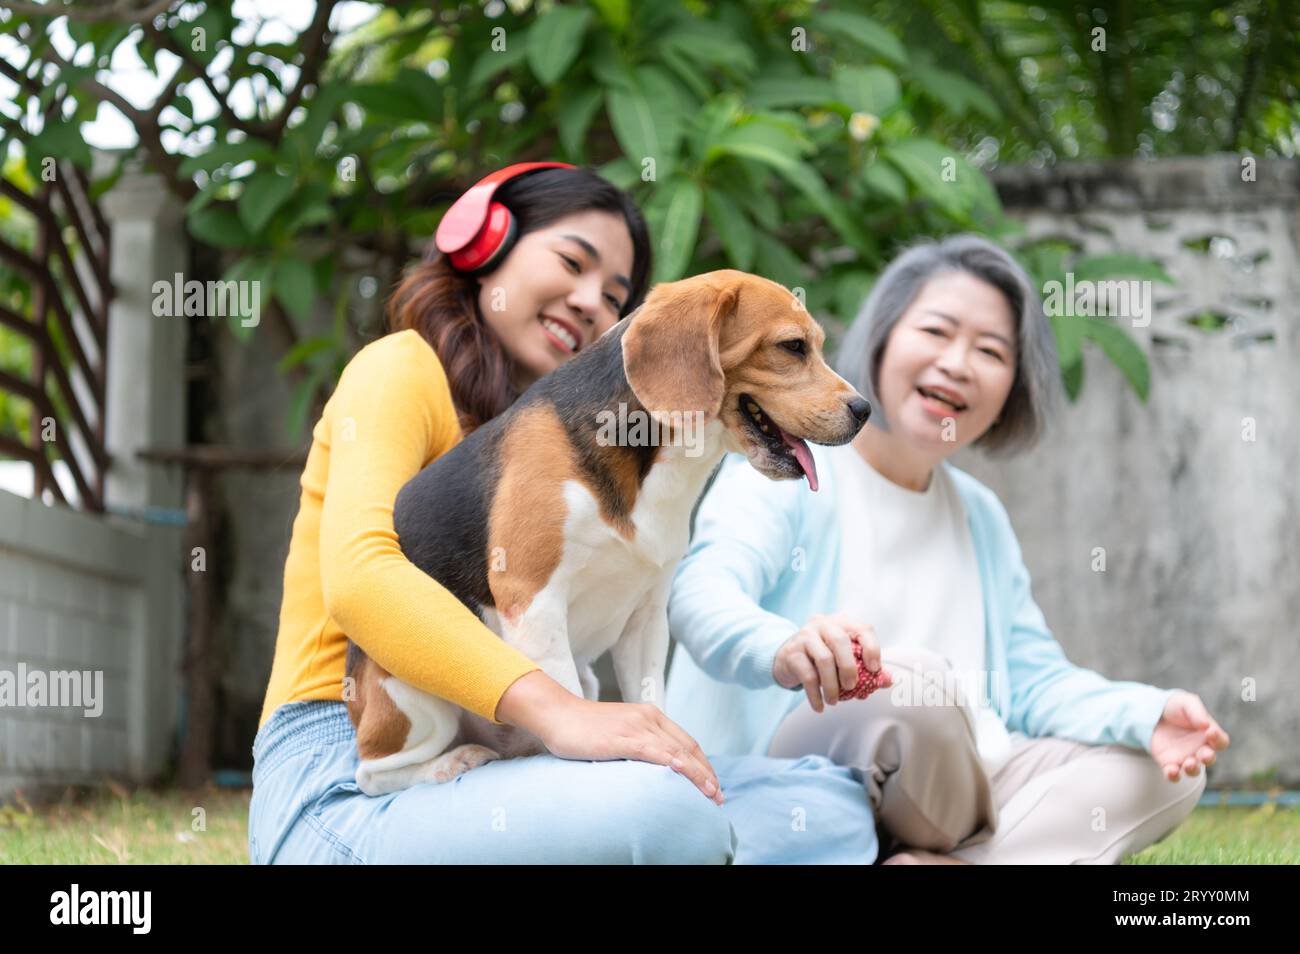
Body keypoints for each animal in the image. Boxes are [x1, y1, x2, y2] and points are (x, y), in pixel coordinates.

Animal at [348, 265, 873, 795]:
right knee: (371, 773)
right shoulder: (532, 600)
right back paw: (450, 762)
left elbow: (650, 700)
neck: (659, 465)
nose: (864, 411)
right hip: (409, 689)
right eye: (792, 347)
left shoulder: (647, 617)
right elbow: (565, 699)